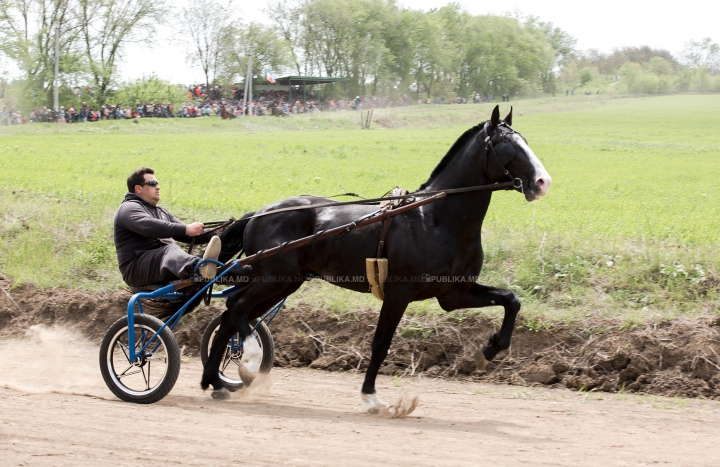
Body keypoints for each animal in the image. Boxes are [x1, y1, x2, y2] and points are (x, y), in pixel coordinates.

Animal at [202, 105, 552, 414]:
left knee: (231, 315)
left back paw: (215, 382)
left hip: (283, 283)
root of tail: (258, 213)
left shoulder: (453, 294)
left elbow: (511, 300)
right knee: (235, 307)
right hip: (275, 278)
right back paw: (248, 359)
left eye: (526, 141)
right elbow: (381, 343)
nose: (542, 182)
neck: (434, 218)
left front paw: (488, 350)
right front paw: (371, 397)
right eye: (508, 145)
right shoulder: (399, 294)